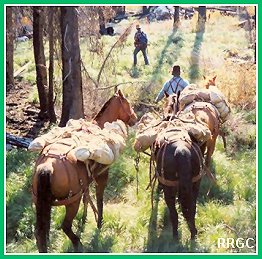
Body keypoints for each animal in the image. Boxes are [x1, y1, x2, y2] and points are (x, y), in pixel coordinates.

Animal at [32, 90, 137, 254]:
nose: (135, 118)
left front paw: (84, 219)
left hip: (39, 202)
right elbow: (99, 199)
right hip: (71, 203)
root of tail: (47, 166)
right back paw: (78, 244)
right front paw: (99, 223)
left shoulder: (85, 183)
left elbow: (86, 198)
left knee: (40, 234)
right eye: (127, 103)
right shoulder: (101, 177)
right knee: (65, 226)